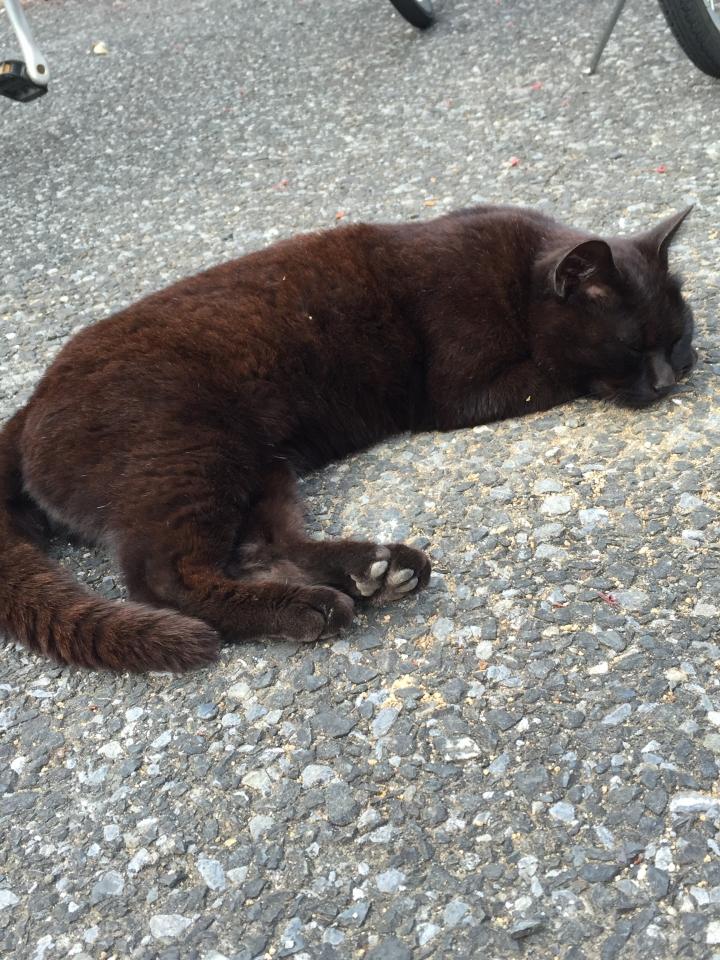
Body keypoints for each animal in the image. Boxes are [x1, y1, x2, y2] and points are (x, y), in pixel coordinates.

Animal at [0, 204, 696, 673]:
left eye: (679, 335)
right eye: (630, 345)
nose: (669, 378)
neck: (519, 277)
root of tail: (29, 406)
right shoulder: (464, 391)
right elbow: (558, 375)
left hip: (260, 462)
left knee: (262, 547)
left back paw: (376, 570)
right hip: (192, 453)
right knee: (165, 577)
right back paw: (310, 607)